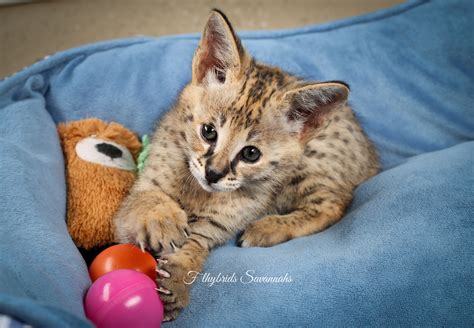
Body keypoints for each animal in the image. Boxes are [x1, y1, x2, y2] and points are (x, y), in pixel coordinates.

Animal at [114, 9, 378, 320]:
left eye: (250, 154)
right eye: (208, 132)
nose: (213, 173)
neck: (199, 192)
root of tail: (371, 154)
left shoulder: (213, 227)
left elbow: (192, 250)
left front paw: (176, 282)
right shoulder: (139, 193)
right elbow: (149, 198)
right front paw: (163, 220)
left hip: (309, 166)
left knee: (334, 203)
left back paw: (266, 229)